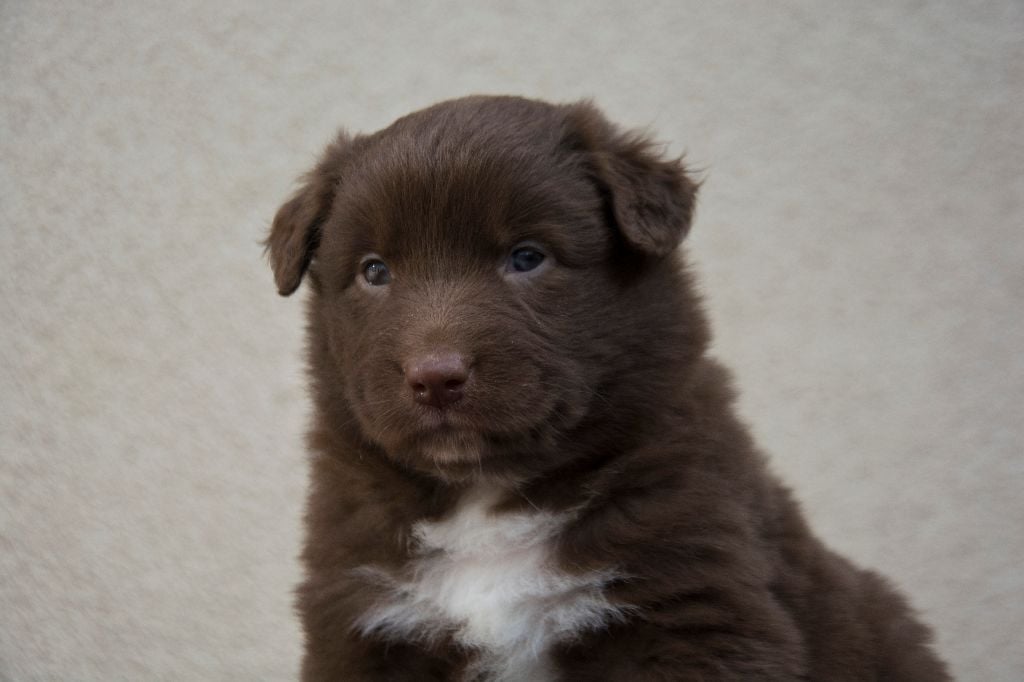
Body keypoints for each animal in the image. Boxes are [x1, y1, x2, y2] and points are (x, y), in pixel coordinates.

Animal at [266, 96, 950, 679]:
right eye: (374, 271)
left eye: (527, 257)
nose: (435, 377)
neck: (486, 500)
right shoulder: (364, 623)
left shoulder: (692, 611)